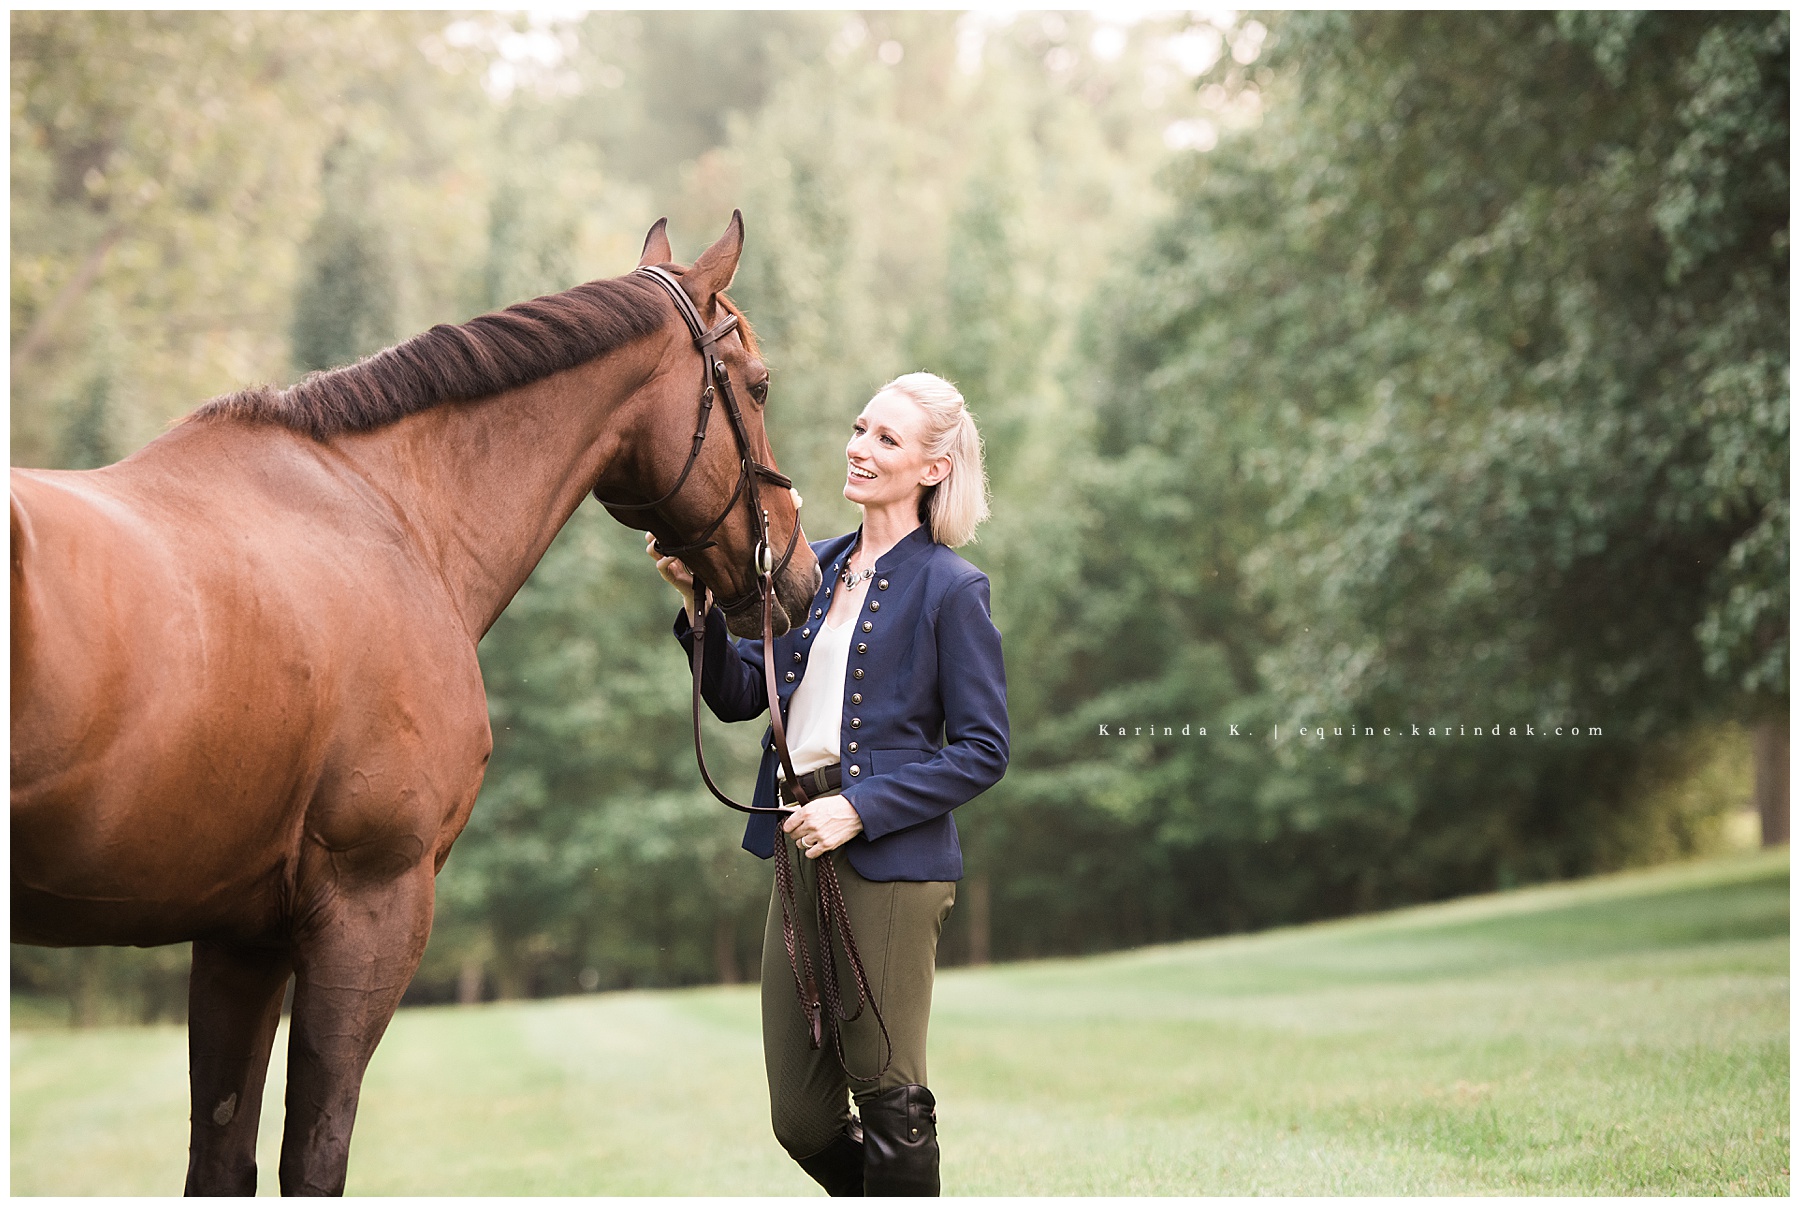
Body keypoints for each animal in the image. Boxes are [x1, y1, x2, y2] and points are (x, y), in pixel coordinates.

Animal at [10, 213, 819, 1195]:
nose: (800, 573)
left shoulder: (241, 936)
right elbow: (315, 1153)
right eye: (759, 381)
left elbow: (223, 1155)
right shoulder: (373, 904)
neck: (395, 516)